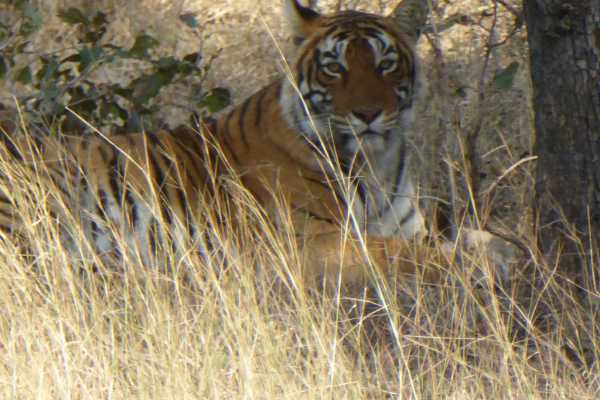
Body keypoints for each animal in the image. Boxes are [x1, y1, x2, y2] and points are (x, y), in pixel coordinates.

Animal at [0, 0, 516, 282]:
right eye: (335, 67)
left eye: (385, 63)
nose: (367, 114)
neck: (377, 162)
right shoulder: (311, 241)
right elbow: (410, 257)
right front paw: (478, 269)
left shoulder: (409, 224)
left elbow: (482, 238)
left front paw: (510, 252)